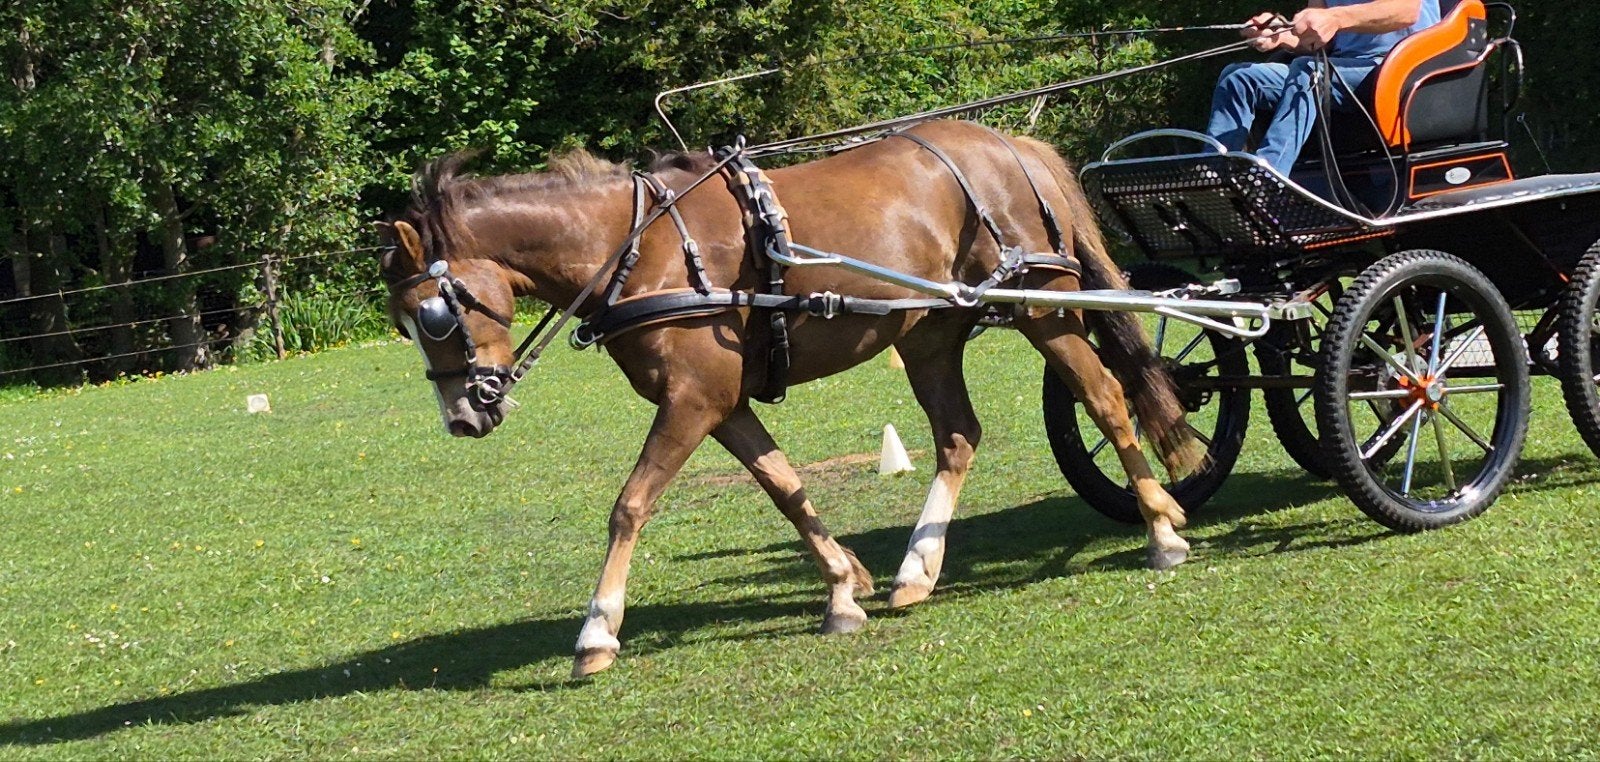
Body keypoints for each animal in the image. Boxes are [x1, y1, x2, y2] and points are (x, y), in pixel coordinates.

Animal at [379, 119, 1205, 678]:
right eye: (401, 324)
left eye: (435, 316)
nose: (465, 415)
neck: (639, 250)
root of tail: (1008, 144)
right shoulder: (722, 404)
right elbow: (784, 486)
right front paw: (844, 589)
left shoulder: (693, 401)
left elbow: (631, 504)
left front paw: (596, 633)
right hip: (929, 335)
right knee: (958, 435)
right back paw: (916, 571)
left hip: (1044, 304)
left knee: (1105, 398)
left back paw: (1162, 530)